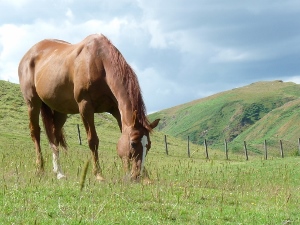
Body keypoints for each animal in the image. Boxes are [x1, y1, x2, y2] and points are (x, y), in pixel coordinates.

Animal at [18, 33, 159, 181]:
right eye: (133, 143)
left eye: (148, 145)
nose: (137, 175)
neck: (99, 63)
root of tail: (29, 54)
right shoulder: (85, 107)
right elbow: (93, 140)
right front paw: (98, 174)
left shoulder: (116, 110)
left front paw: (146, 178)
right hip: (32, 103)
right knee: (35, 132)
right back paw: (40, 168)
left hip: (60, 111)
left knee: (53, 136)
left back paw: (59, 172)